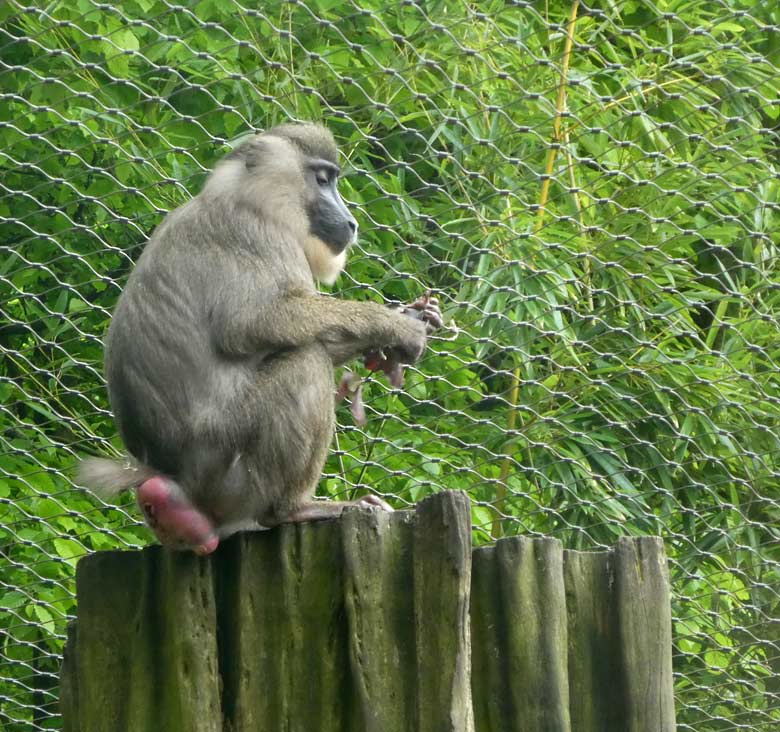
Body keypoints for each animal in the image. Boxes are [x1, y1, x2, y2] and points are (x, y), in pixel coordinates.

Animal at [81, 121, 442, 556]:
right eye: (323, 180)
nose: (351, 222)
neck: (243, 195)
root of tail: (169, 479)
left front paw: (412, 320)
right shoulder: (257, 234)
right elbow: (255, 323)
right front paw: (398, 325)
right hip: (227, 471)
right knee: (305, 362)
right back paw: (294, 508)